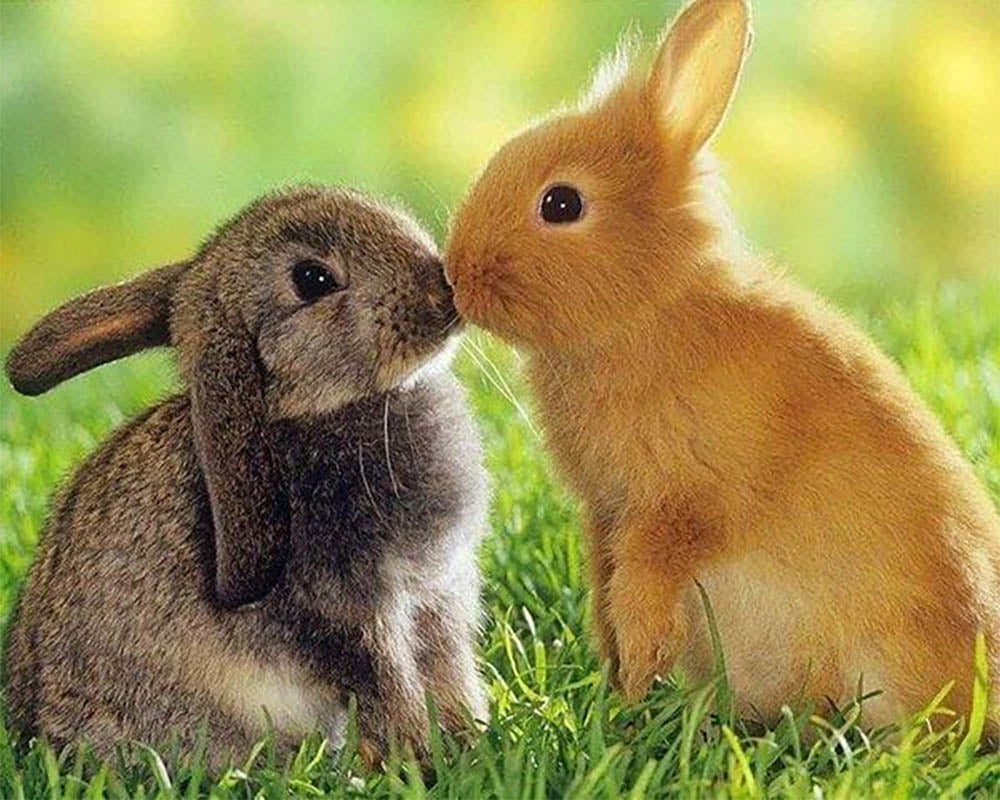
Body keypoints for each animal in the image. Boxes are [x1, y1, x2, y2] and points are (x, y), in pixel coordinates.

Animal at [3, 185, 490, 766]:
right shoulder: (351, 611)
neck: (307, 408)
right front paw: (424, 758)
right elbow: (389, 685)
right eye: (312, 279)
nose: (443, 292)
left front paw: (473, 740)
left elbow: (450, 673)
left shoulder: (438, 595)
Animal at [445, 0, 1000, 732]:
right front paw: (617, 685)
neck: (650, 309)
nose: (455, 275)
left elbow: (643, 591)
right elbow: (605, 592)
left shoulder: (678, 508)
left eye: (561, 204)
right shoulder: (606, 514)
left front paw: (634, 685)